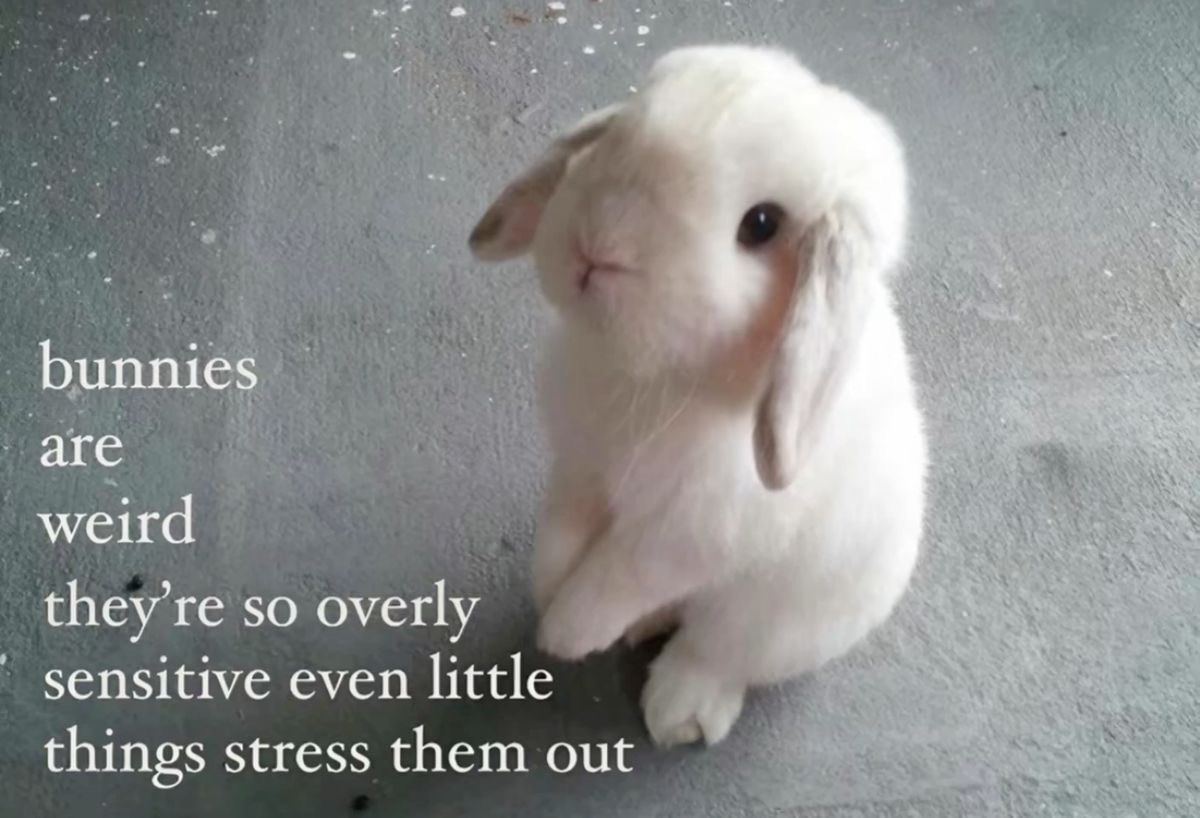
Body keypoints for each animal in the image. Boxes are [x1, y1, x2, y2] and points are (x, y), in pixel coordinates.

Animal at [468, 44, 927, 748]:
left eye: (760, 225)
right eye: (623, 128)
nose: (598, 244)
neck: (656, 378)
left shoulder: (686, 535)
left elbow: (615, 577)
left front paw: (564, 634)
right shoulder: (578, 471)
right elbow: (563, 538)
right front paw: (546, 589)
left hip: (768, 626)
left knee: (713, 651)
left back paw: (681, 713)